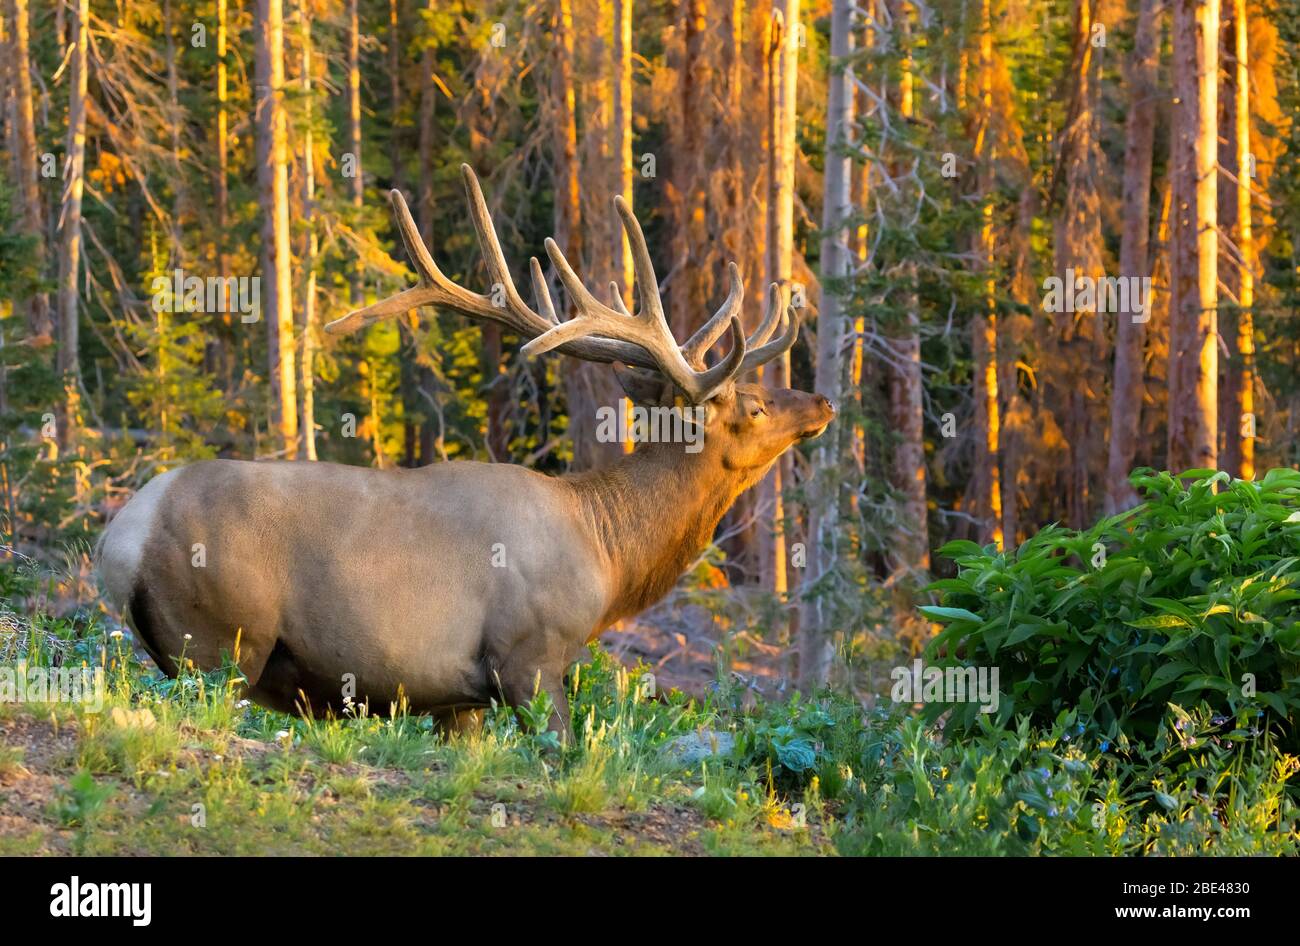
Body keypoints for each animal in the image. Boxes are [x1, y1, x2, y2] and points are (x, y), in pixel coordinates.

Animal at [98, 166, 832, 732]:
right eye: (755, 406)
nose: (822, 402)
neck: (607, 553)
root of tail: (118, 540)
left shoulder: (458, 701)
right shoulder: (529, 658)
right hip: (221, 642)